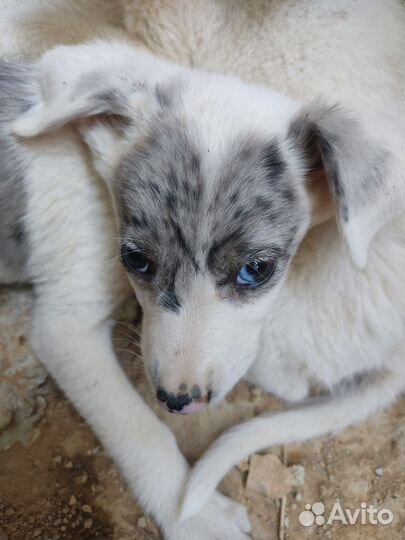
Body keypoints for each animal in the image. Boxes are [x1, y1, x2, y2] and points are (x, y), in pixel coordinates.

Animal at [0, 2, 404, 536]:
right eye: (136, 259)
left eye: (256, 269)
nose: (177, 400)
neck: (84, 157)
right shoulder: (65, 325)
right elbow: (139, 426)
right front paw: (191, 515)